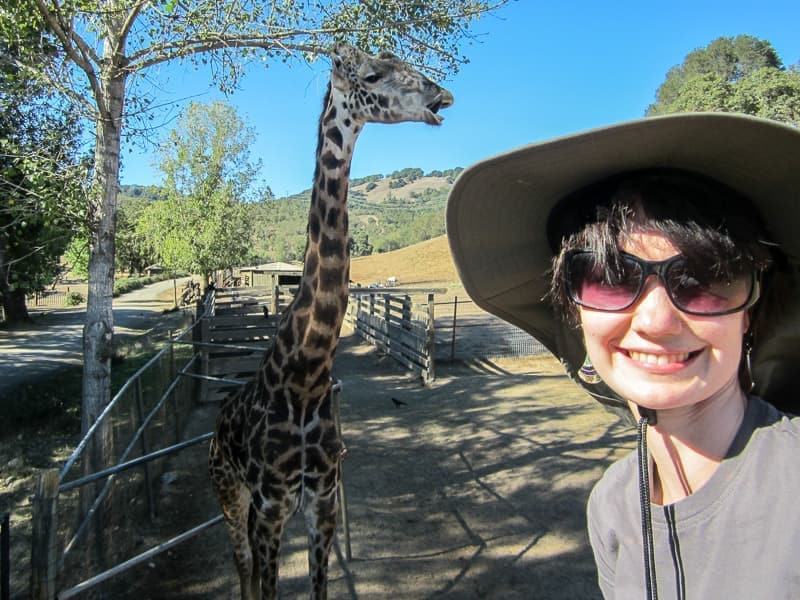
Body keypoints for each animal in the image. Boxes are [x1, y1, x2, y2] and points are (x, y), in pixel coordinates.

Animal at [209, 44, 454, 600]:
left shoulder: (321, 498)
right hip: (227, 492)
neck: (305, 376)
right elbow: (266, 585)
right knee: (241, 566)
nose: (442, 95)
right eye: (373, 75)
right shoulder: (271, 504)